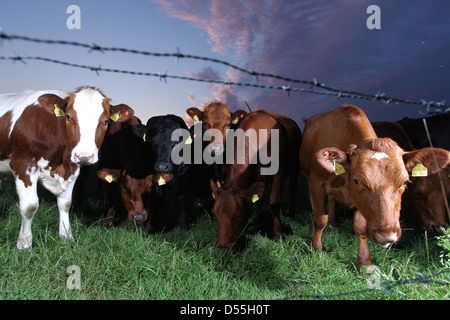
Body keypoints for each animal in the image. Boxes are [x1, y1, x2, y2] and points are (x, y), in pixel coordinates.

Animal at [0, 87, 134, 250]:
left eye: (105, 121)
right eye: (69, 117)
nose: (84, 156)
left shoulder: (73, 169)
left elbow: (65, 204)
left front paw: (66, 236)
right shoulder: (23, 166)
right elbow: (29, 207)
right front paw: (24, 245)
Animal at [209, 110, 300, 250]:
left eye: (239, 215)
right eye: (214, 214)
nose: (222, 248)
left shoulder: (279, 170)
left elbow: (274, 201)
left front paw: (278, 233)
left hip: (295, 166)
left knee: (292, 189)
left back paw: (292, 214)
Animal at [298, 105, 450, 268]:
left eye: (404, 182)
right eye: (357, 181)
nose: (387, 235)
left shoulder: (360, 202)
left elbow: (360, 227)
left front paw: (364, 263)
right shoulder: (317, 182)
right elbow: (320, 220)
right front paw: (316, 250)